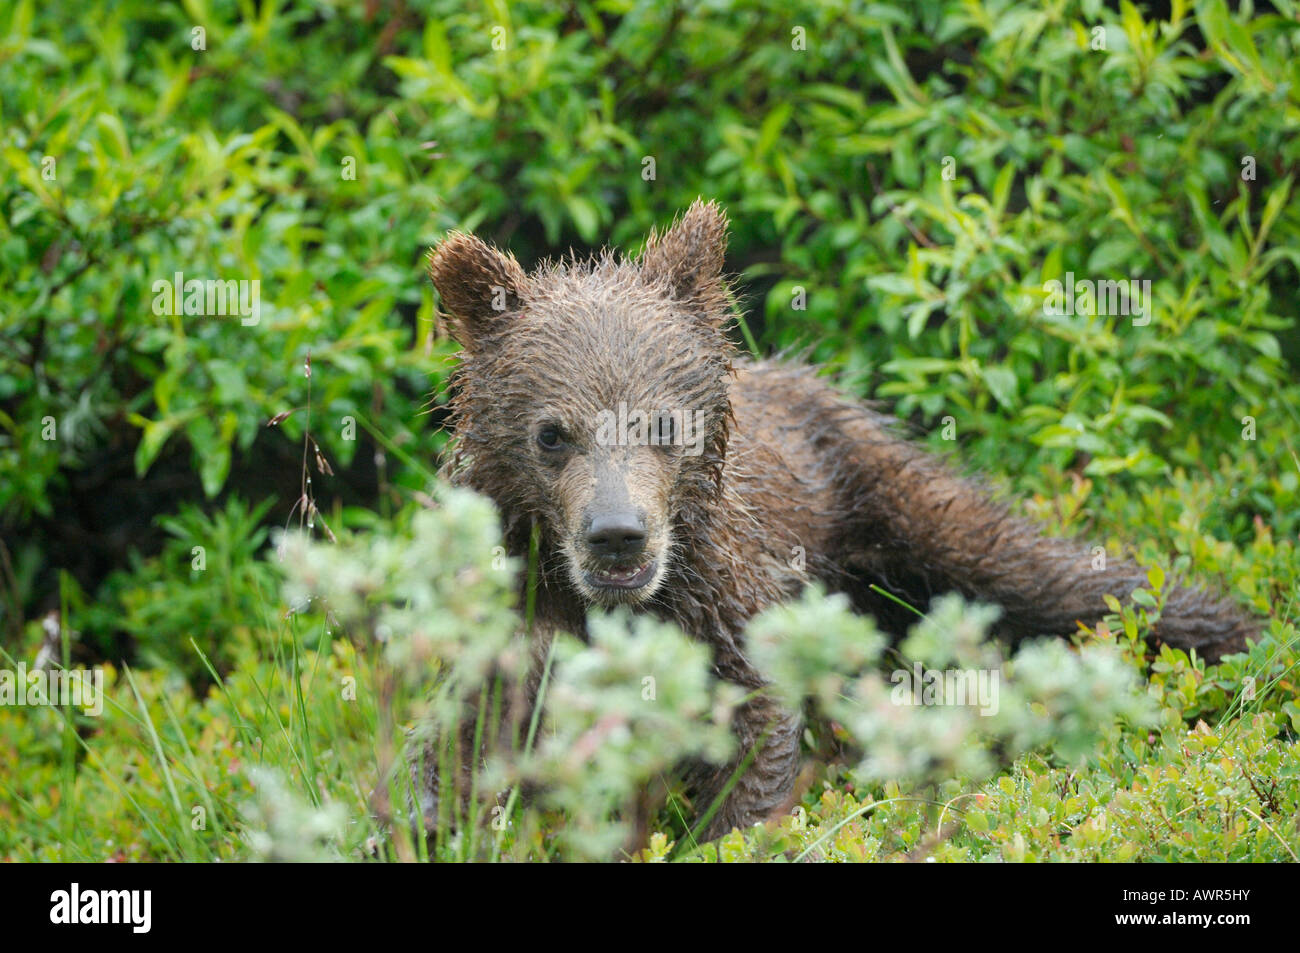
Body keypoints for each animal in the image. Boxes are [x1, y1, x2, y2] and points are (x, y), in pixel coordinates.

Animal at [422, 198, 1258, 841]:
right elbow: (456, 741)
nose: (618, 534)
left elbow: (753, 733)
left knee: (1043, 573)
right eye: (550, 432)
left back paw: (1231, 631)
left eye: (664, 423)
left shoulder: (726, 594)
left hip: (884, 493)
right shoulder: (515, 615)